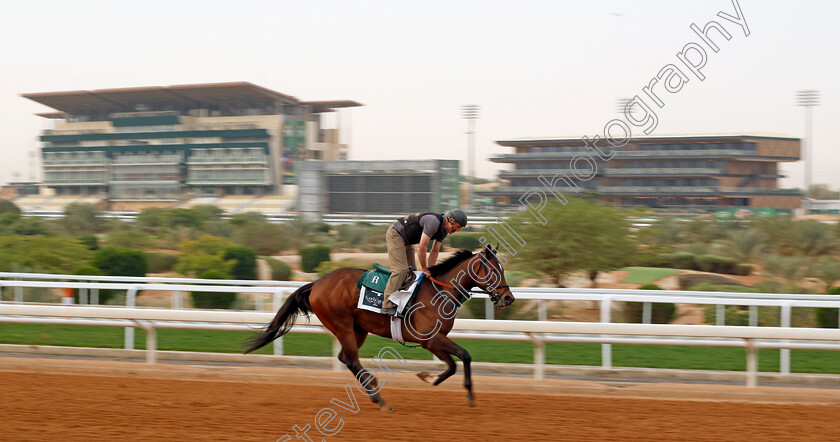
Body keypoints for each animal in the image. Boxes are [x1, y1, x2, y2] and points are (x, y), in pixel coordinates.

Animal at [246, 242, 516, 410]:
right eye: (494, 270)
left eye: (503, 269)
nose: (508, 298)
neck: (439, 292)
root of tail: (317, 283)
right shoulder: (430, 339)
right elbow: (464, 356)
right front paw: (467, 394)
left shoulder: (432, 342)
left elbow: (452, 365)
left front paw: (429, 378)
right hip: (342, 325)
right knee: (351, 359)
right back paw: (379, 396)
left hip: (358, 328)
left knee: (345, 358)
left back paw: (374, 391)